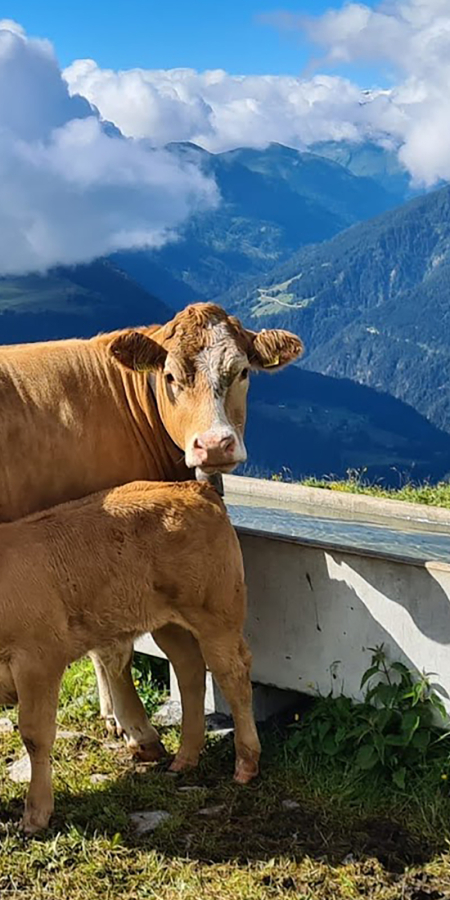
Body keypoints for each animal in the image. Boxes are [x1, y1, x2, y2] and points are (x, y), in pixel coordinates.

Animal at [0, 300, 302, 760]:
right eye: (171, 376)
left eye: (242, 372)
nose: (214, 445)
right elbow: (113, 648)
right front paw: (137, 728)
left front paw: (112, 716)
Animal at [0, 482, 260, 832]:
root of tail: (195, 487)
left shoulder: (38, 659)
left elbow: (34, 735)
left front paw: (35, 814)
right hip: (169, 623)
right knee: (189, 670)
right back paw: (185, 757)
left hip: (216, 614)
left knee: (233, 675)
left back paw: (245, 763)